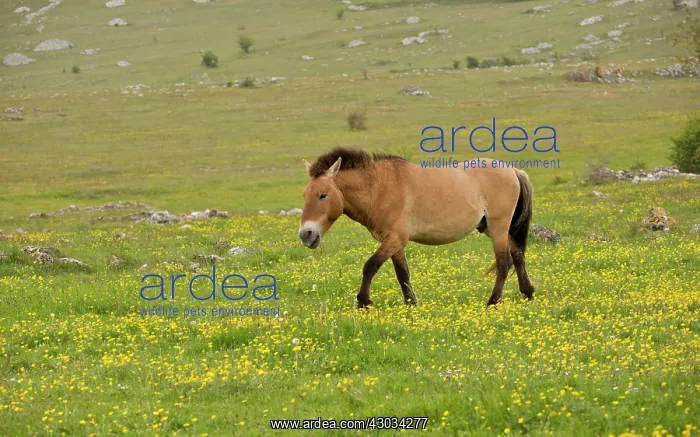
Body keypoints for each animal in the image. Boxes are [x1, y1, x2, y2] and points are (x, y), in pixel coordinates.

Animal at [297, 147, 535, 308]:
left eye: (323, 195)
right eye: (304, 195)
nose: (305, 234)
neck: (381, 187)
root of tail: (513, 171)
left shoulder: (395, 238)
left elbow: (370, 266)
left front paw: (363, 301)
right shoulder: (393, 241)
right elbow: (402, 273)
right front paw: (411, 303)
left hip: (498, 227)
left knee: (504, 263)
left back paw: (492, 301)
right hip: (490, 228)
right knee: (517, 255)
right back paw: (528, 293)